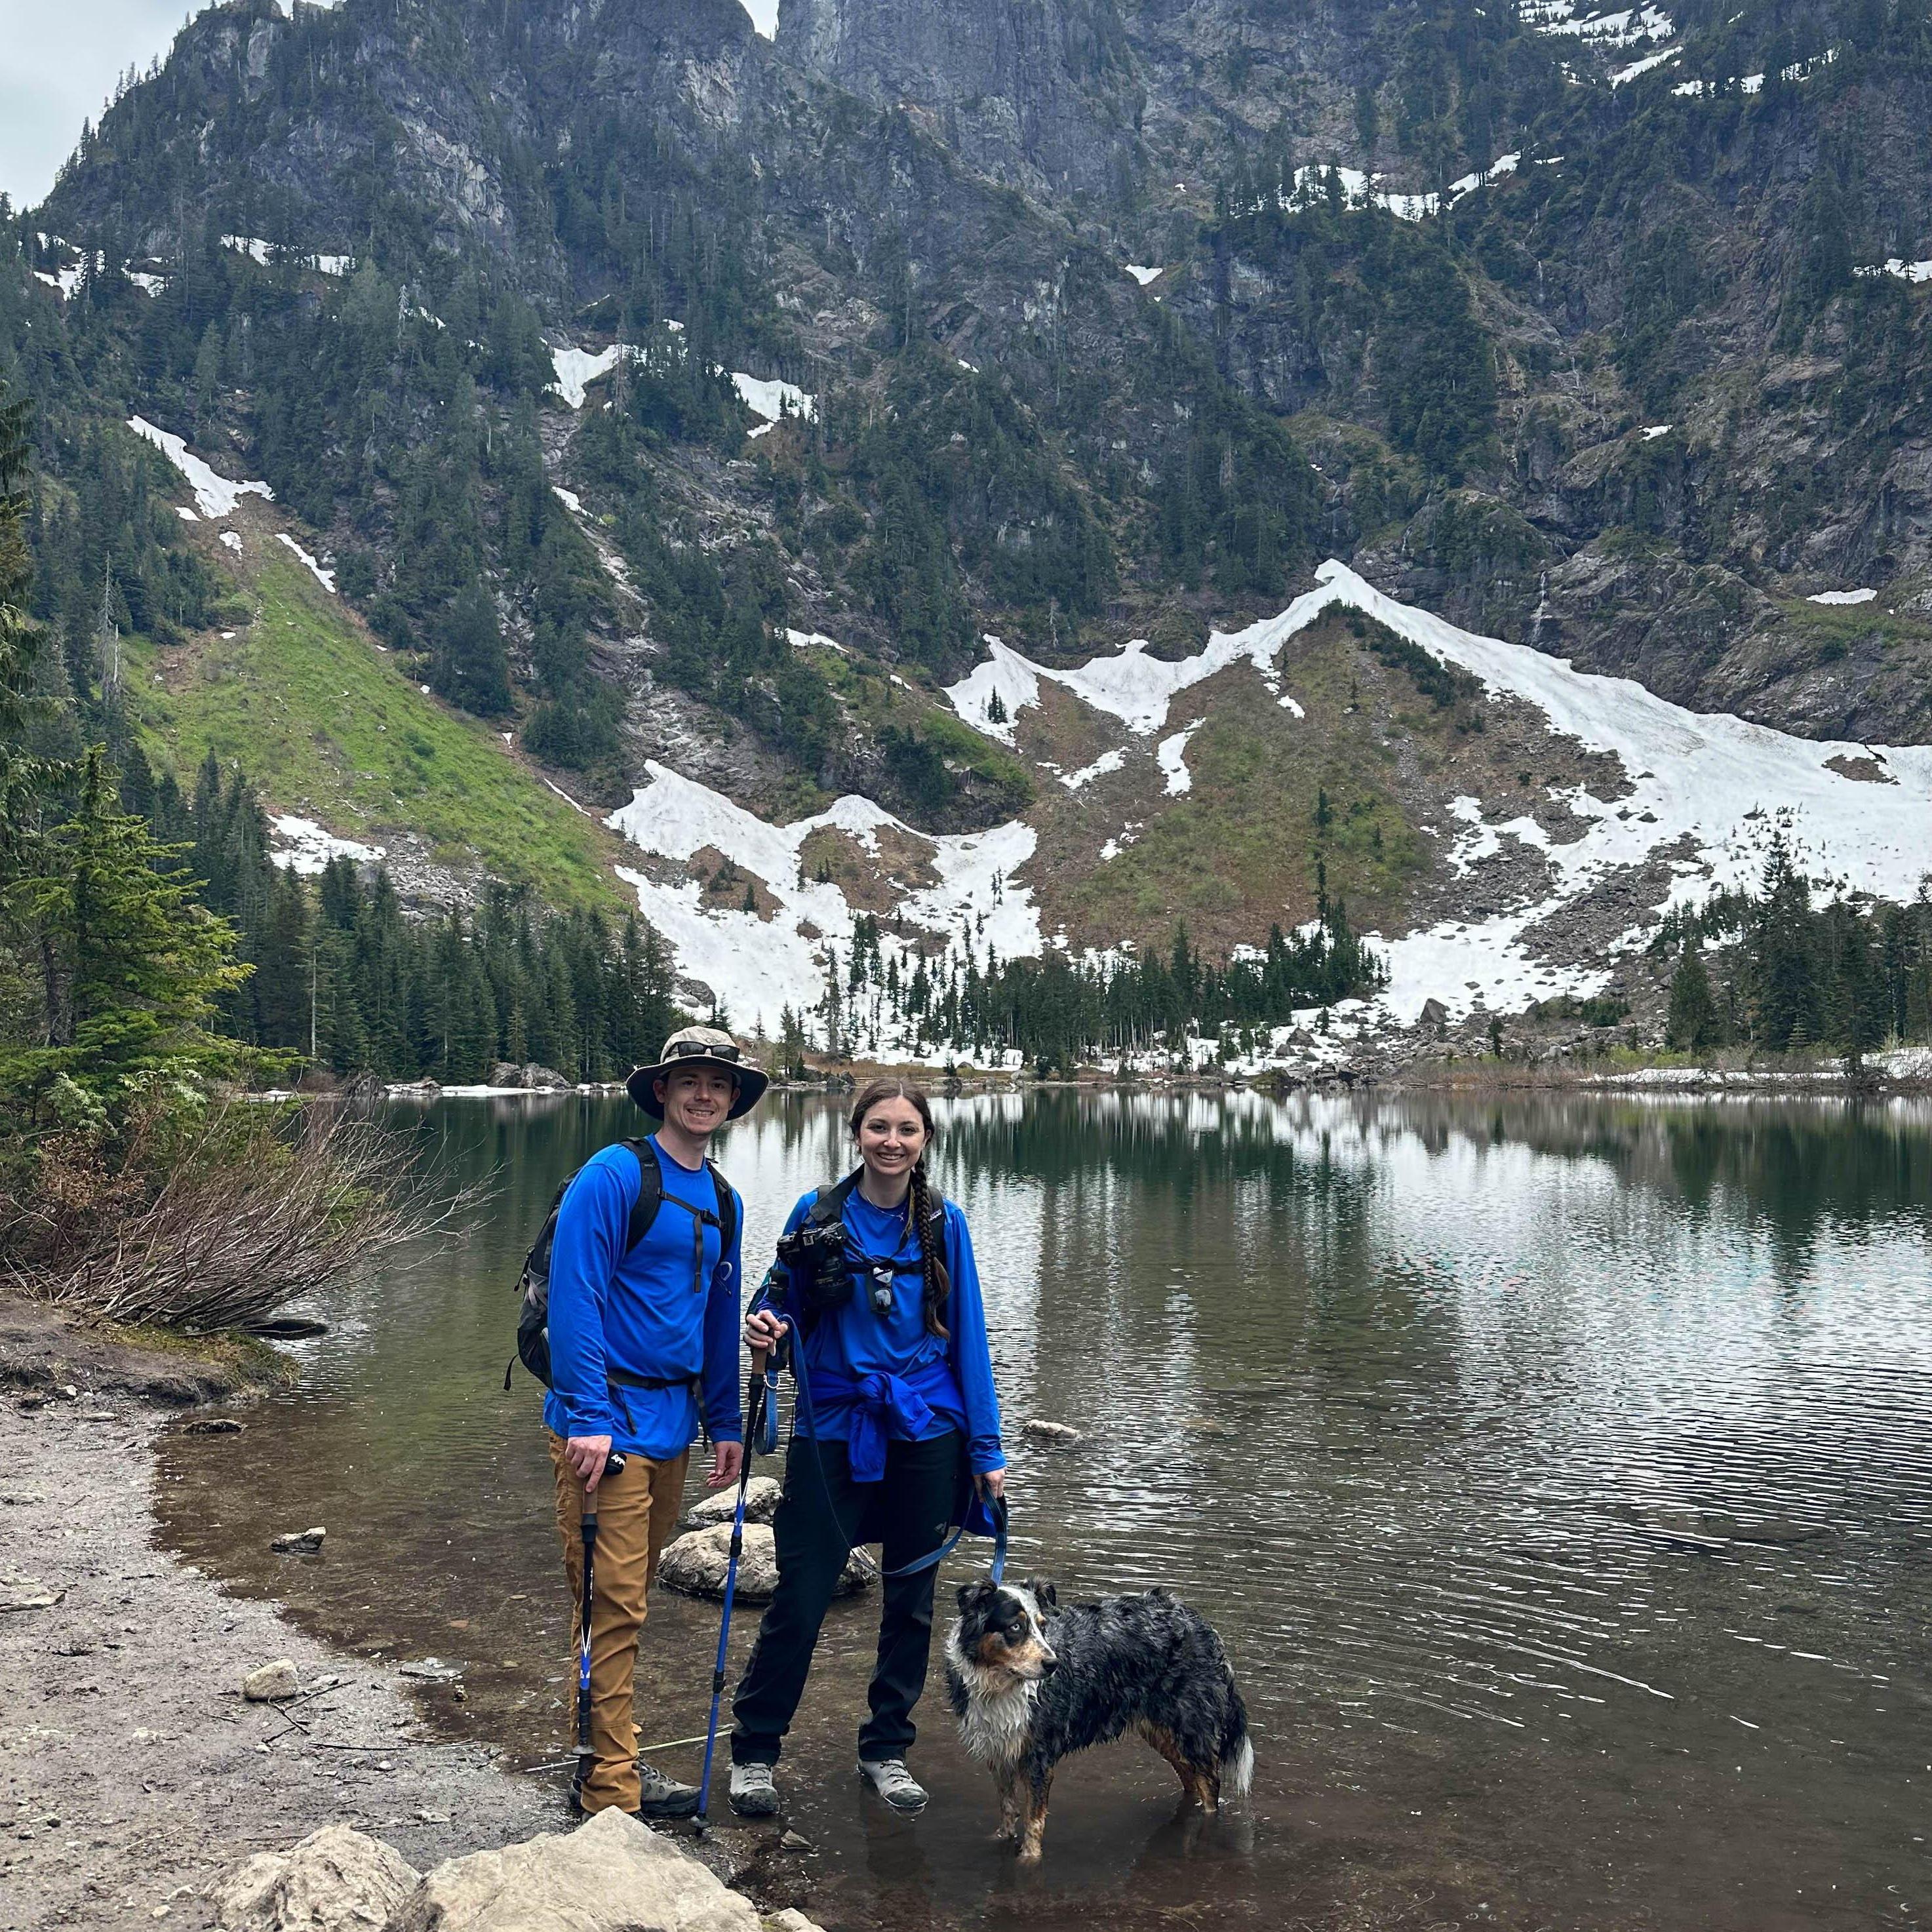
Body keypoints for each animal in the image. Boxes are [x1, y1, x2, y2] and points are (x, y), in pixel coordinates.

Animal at [947, 1576, 1252, 1862]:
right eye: (1015, 1628)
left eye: (1043, 1627)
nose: (1053, 1664)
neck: (1002, 1684)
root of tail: (1199, 1621)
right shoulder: (998, 1751)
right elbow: (1008, 1809)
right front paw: (1001, 1840)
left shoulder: (1038, 1757)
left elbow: (1034, 1822)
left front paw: (1028, 1860)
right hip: (1162, 1731)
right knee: (1190, 1779)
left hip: (1190, 1725)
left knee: (1210, 1783)